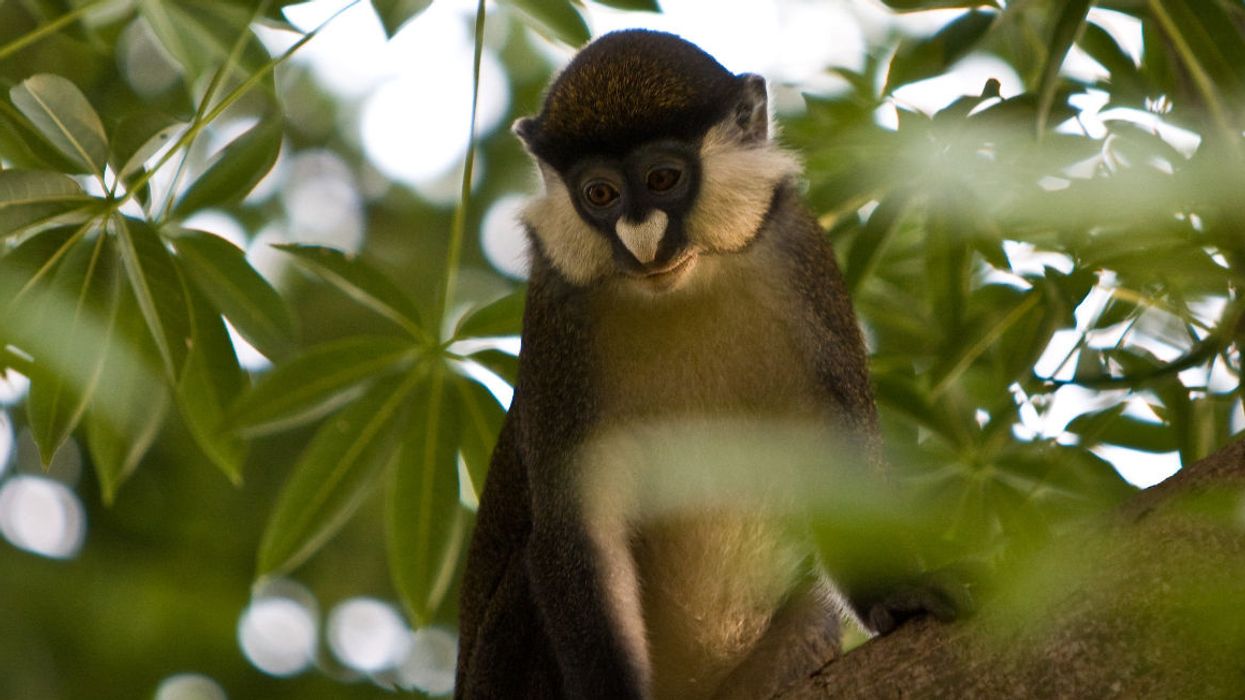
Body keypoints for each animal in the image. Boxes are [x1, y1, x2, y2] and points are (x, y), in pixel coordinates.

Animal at [456, 30, 961, 700]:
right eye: (600, 194)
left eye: (663, 177)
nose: (642, 239)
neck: (683, 287)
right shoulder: (556, 308)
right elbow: (573, 524)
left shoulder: (800, 253)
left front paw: (898, 596)